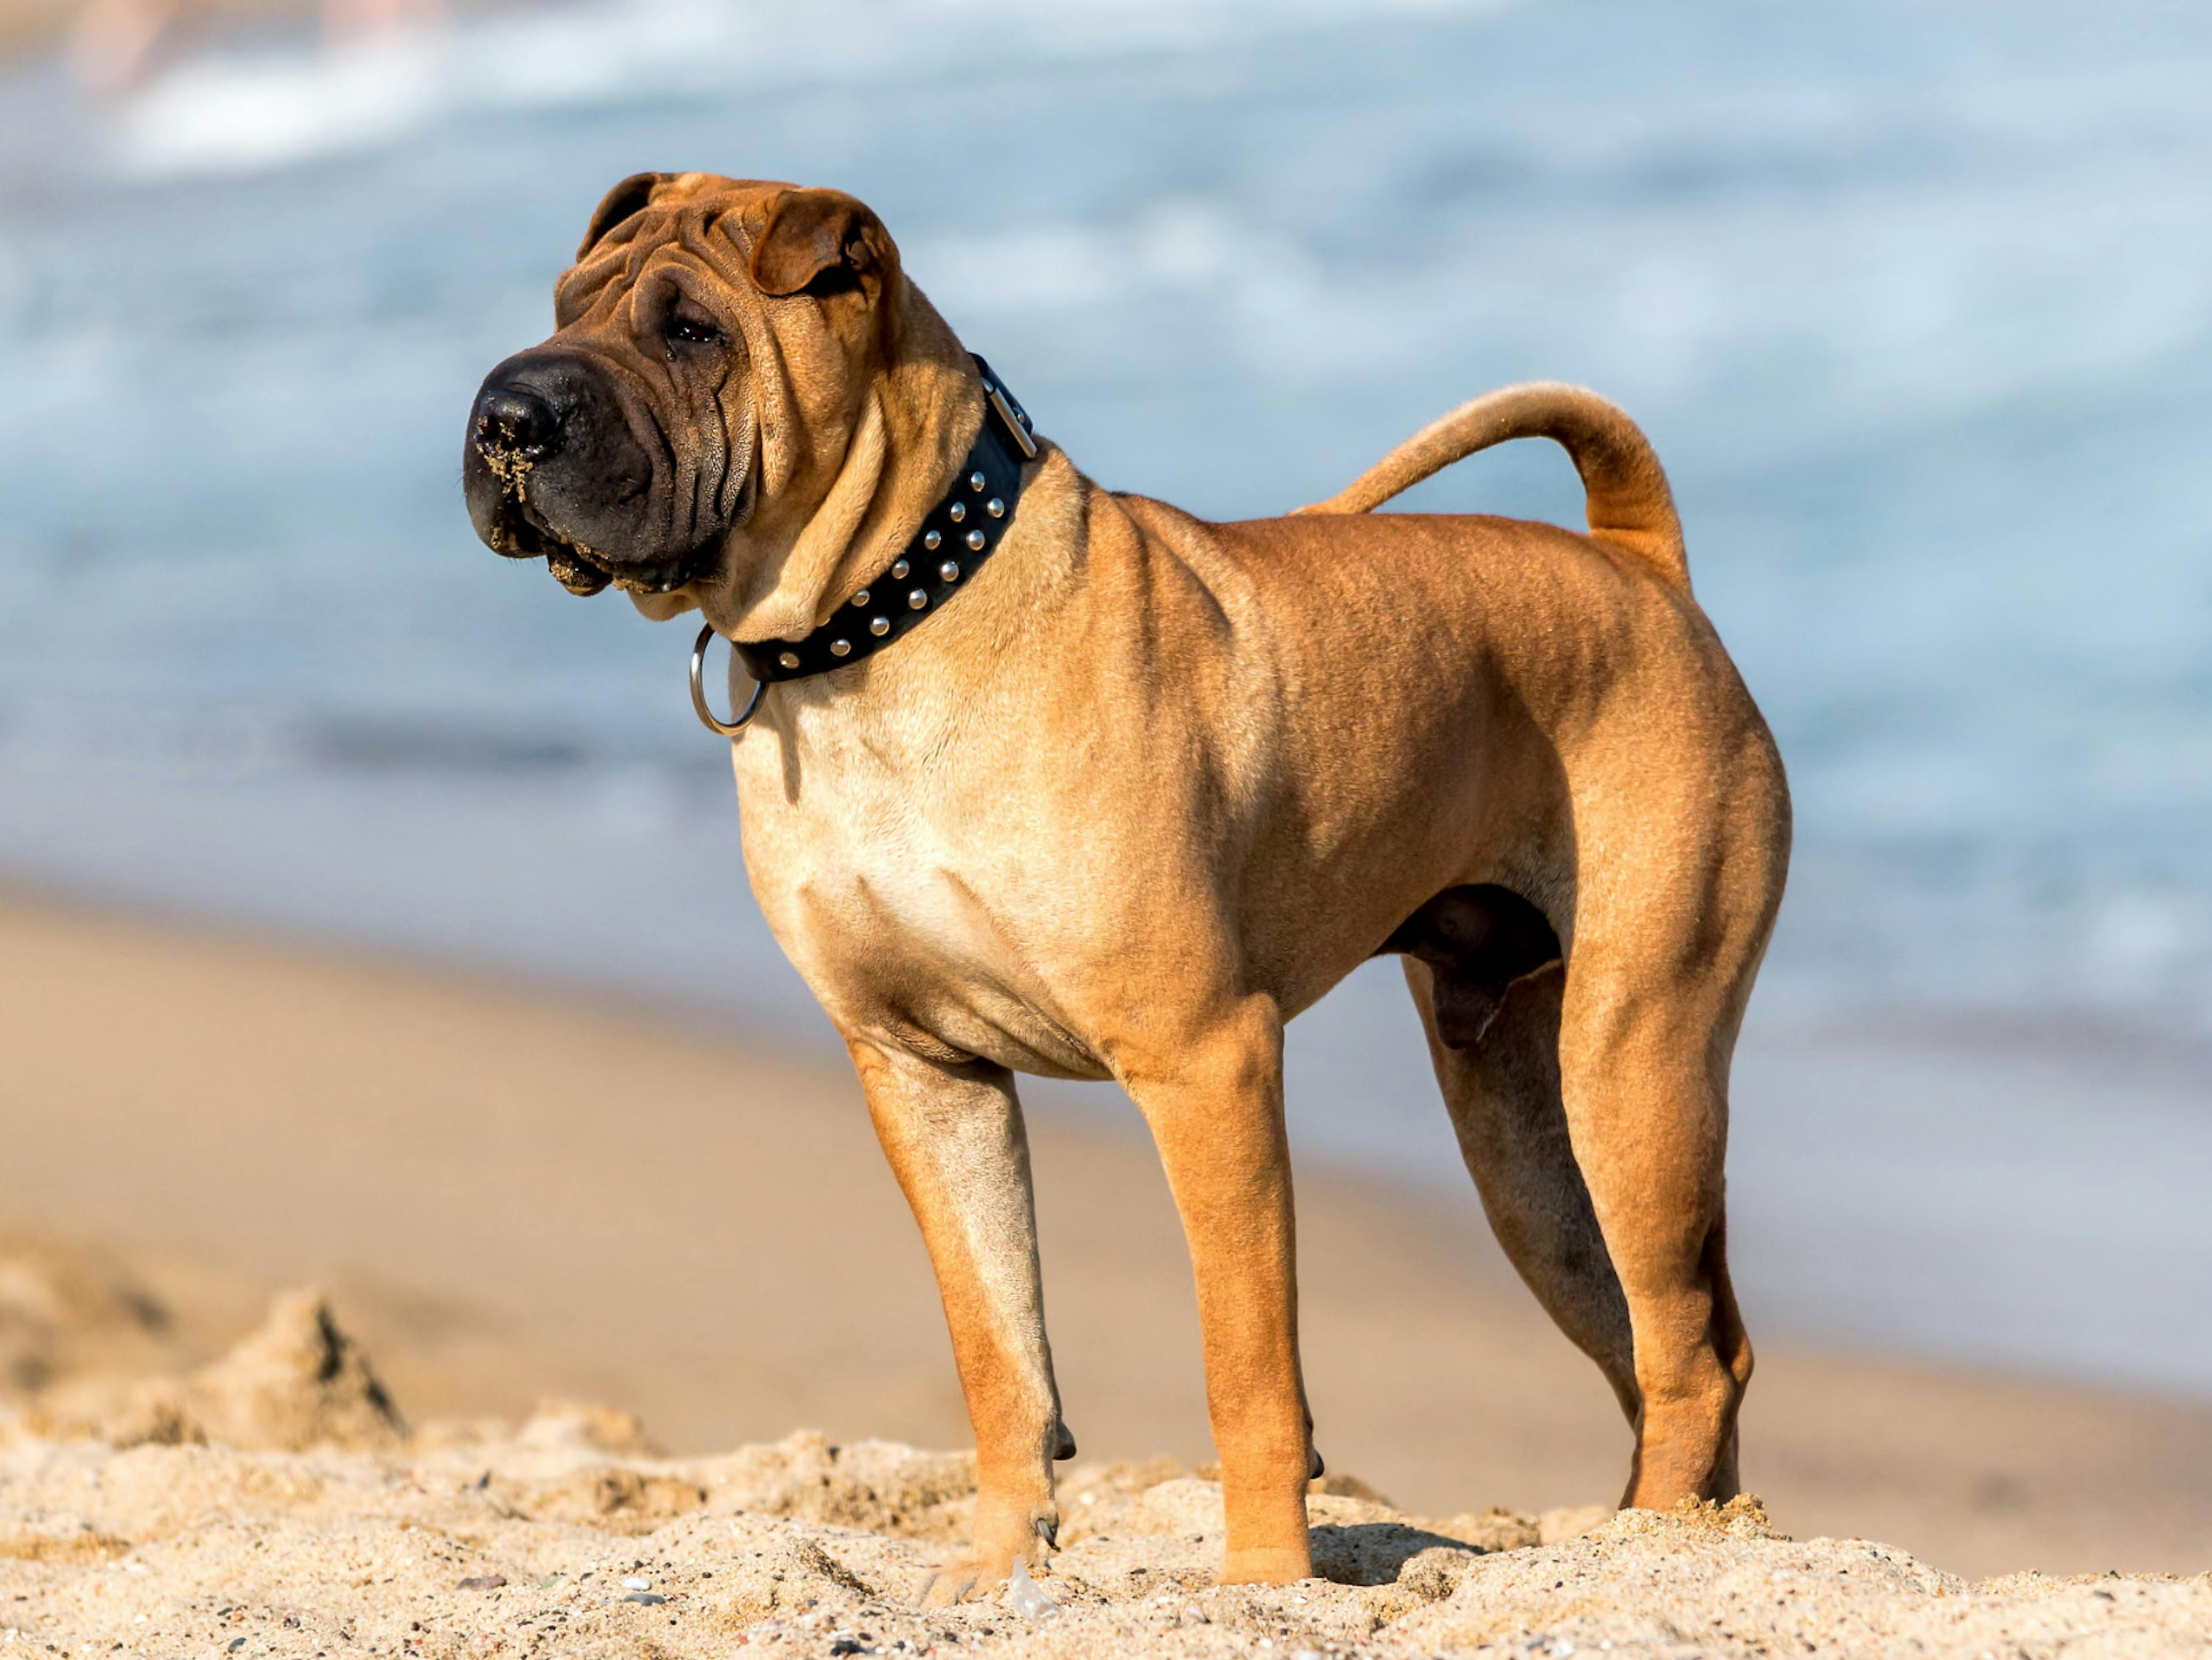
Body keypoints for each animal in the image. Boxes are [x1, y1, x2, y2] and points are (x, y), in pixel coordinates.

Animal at [467, 176, 1796, 1602]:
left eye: (692, 330)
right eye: (566, 302)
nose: (505, 417)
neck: (880, 631)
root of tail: (1643, 566)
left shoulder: (1206, 1059)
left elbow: (1245, 1360)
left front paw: (1265, 1582)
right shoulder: (924, 1075)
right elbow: (996, 1347)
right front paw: (996, 1567)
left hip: (1632, 1062)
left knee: (1690, 1350)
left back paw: (1656, 1548)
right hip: (1525, 1147)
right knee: (1657, 1342)